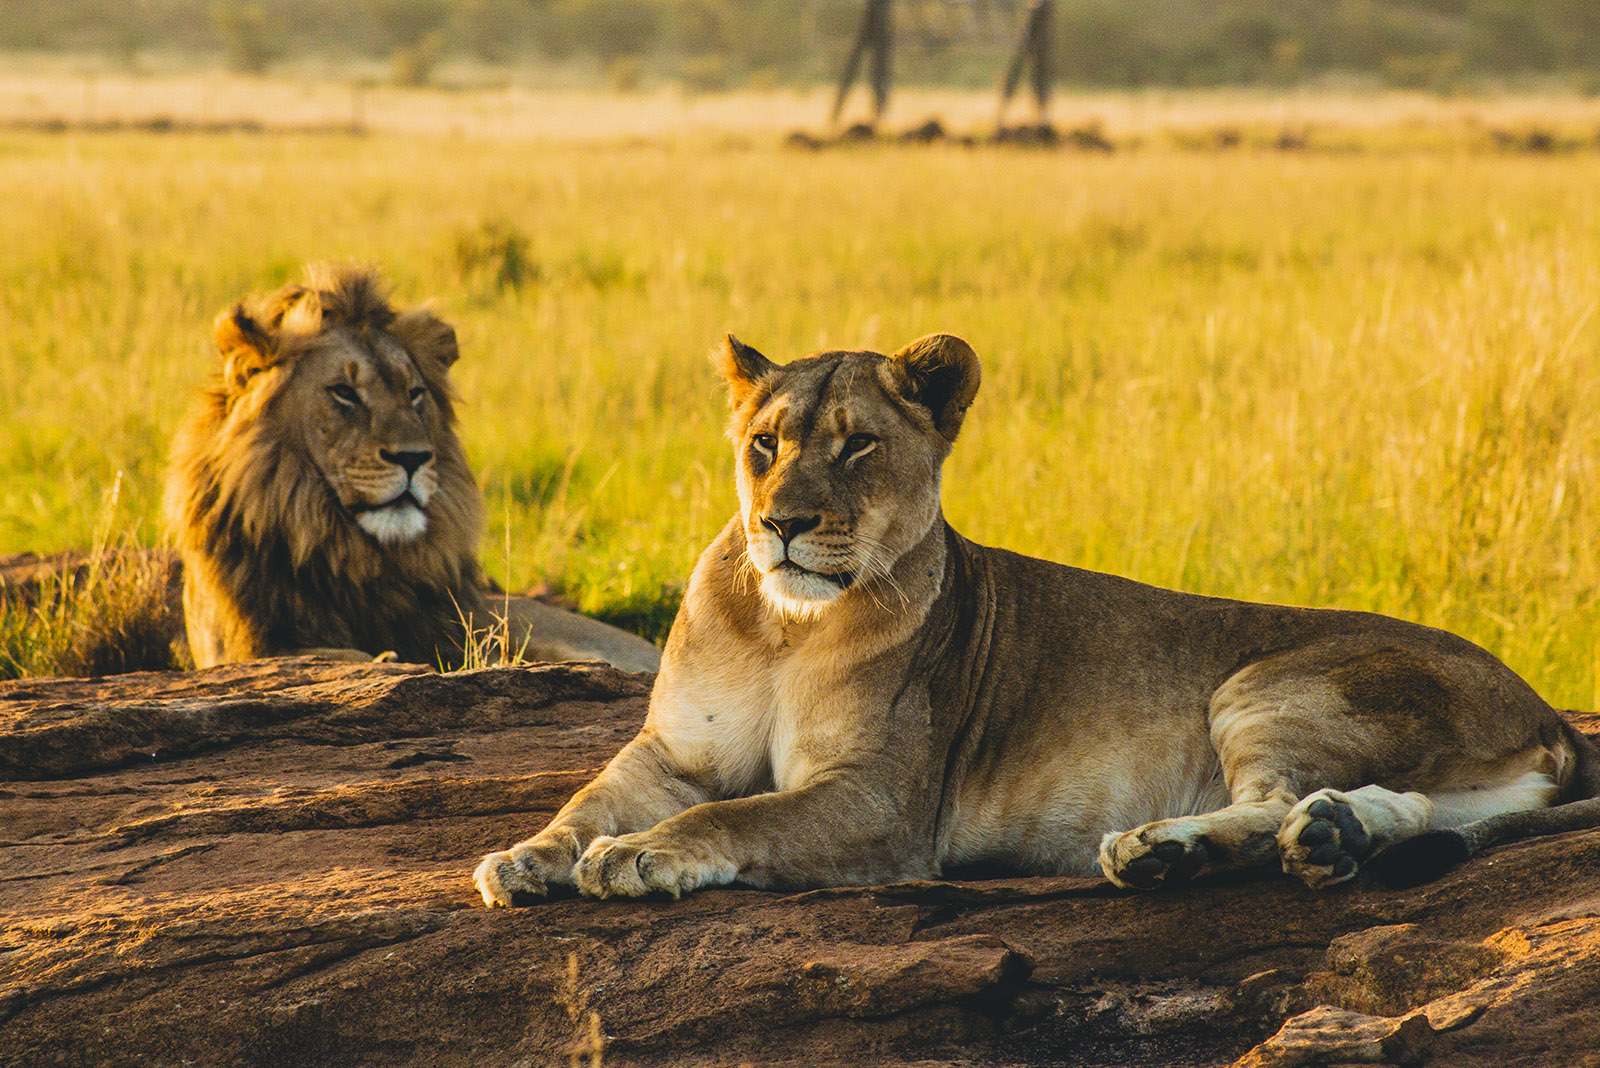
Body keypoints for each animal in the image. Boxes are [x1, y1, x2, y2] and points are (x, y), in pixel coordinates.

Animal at [473, 332, 1599, 905]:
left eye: (857, 446)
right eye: (764, 444)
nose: (783, 524)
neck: (783, 627)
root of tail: (1546, 711)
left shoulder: (880, 804)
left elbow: (734, 817)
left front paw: (637, 858)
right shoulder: (673, 751)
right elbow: (590, 798)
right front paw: (527, 858)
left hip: (1263, 683)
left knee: (1276, 800)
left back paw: (1166, 848)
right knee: (1395, 809)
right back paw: (1323, 837)